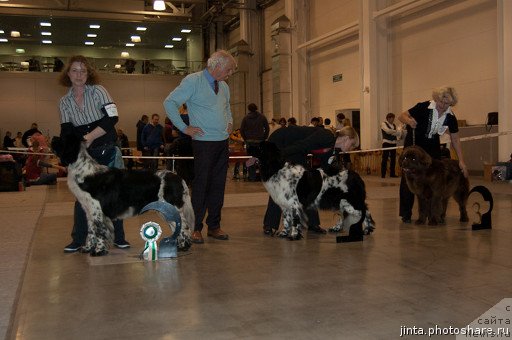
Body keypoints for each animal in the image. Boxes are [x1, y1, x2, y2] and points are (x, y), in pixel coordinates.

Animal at [51, 133, 194, 255]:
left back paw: (183, 246)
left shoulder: (97, 211)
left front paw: (98, 251)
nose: (52, 138)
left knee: (184, 227)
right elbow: (91, 231)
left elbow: (100, 231)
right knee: (178, 227)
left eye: (62, 138)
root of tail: (178, 177)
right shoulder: (89, 211)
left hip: (171, 207)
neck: (85, 173)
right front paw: (87, 248)